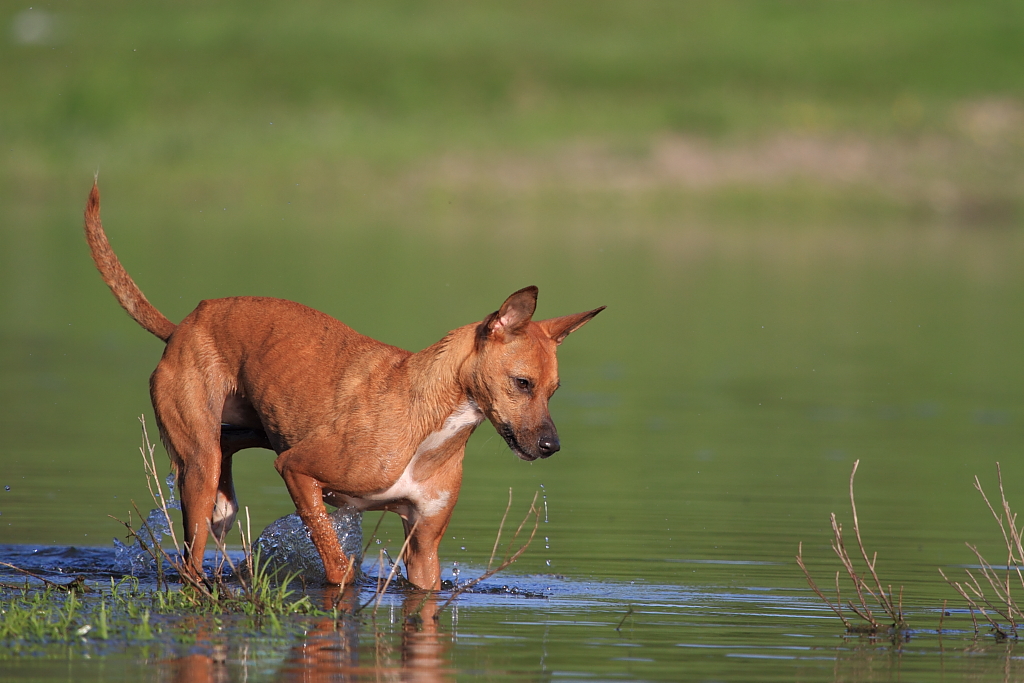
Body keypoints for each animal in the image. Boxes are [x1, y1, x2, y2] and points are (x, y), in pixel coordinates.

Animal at [86, 184, 606, 589]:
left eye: (553, 391)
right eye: (522, 383)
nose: (551, 446)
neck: (431, 428)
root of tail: (181, 326)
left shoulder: (423, 550)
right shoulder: (296, 470)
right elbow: (337, 566)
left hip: (246, 443)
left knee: (223, 469)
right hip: (201, 465)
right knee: (193, 557)